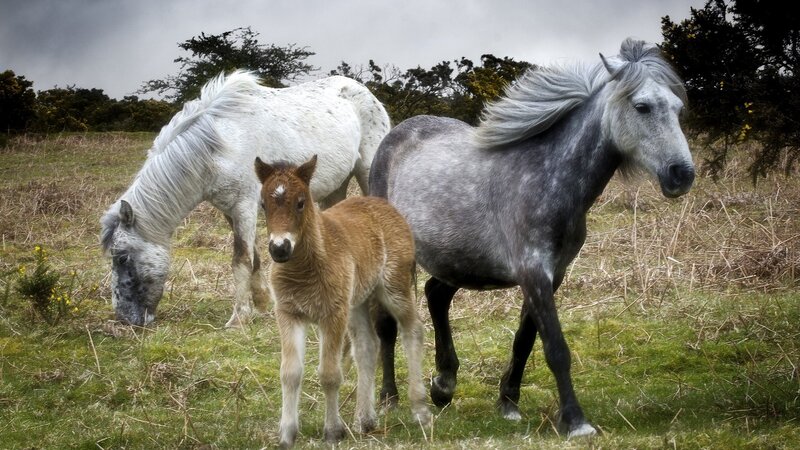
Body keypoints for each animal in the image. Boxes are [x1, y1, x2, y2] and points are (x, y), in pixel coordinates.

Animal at [100, 70, 390, 328]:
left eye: (122, 258)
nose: (125, 319)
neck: (221, 146)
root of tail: (365, 93)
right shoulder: (230, 211)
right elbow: (255, 256)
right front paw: (261, 304)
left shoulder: (244, 207)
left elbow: (240, 260)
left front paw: (238, 319)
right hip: (335, 188)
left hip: (366, 171)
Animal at [254, 155, 430, 448]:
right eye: (263, 204)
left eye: (301, 202)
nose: (280, 248)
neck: (306, 268)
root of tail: (384, 204)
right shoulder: (289, 313)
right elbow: (290, 372)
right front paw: (287, 433)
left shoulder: (332, 314)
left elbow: (329, 374)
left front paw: (333, 431)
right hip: (357, 301)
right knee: (368, 346)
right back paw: (365, 419)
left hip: (393, 288)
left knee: (412, 330)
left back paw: (420, 410)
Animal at [369, 38, 694, 438]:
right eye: (642, 106)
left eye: (678, 108)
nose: (682, 174)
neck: (547, 176)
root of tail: (394, 136)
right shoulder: (532, 269)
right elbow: (555, 347)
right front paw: (575, 421)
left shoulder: (552, 275)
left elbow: (524, 340)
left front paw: (508, 403)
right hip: (397, 258)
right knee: (386, 324)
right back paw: (389, 399)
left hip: (457, 258)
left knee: (436, 295)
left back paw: (444, 385)